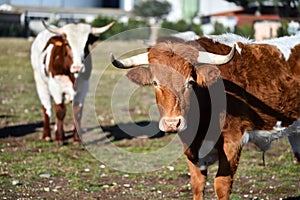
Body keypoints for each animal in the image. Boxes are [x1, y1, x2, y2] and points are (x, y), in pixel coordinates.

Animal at [111, 33, 300, 199]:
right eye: (156, 83)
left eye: (190, 82)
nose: (172, 123)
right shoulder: (190, 146)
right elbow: (197, 184)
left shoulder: (233, 141)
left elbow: (222, 185)